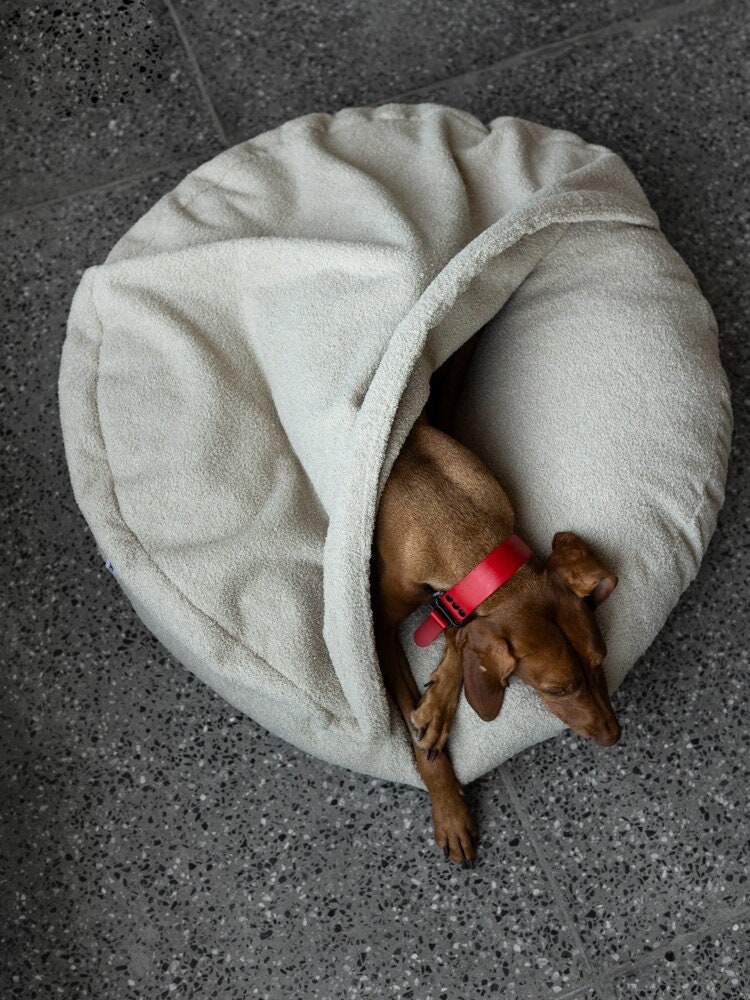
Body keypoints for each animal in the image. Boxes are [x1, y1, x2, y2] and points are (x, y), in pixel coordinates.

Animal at [372, 340, 624, 864]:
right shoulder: (378, 626)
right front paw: (449, 809)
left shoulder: (458, 603)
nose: (614, 736)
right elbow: (419, 743)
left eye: (601, 659)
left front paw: (439, 704)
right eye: (556, 690)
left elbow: (459, 632)